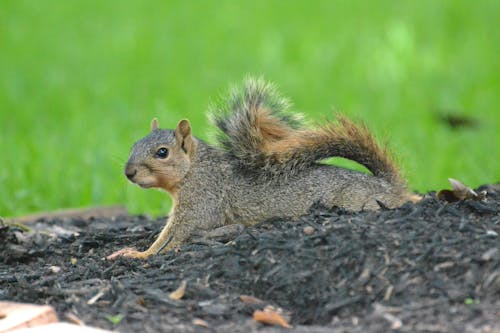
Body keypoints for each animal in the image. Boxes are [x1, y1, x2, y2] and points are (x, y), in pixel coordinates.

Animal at [107, 78, 420, 260]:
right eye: (134, 144)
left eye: (163, 152)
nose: (129, 173)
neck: (195, 170)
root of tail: (390, 187)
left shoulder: (201, 203)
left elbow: (173, 236)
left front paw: (139, 255)